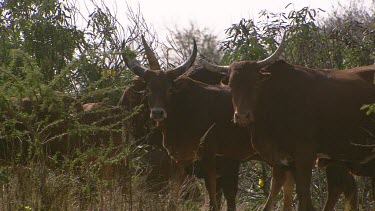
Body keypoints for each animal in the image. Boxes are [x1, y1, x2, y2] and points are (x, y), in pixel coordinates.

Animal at [120, 37, 296, 210]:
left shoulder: (222, 161)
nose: (157, 113)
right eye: (148, 90)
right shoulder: (181, 160)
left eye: (169, 89)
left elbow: (220, 200)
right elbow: (173, 199)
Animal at [198, 36, 375, 209]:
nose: (242, 116)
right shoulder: (282, 161)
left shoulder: (305, 155)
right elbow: (277, 192)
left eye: (256, 83)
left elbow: (303, 196)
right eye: (232, 85)